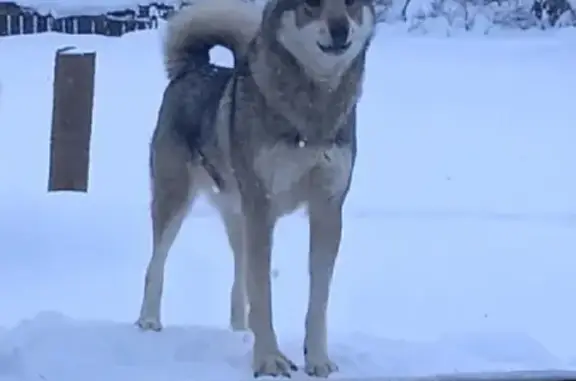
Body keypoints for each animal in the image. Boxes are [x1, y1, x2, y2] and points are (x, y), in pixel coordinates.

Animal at [137, 0, 376, 376]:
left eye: (350, 5)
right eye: (311, 6)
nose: (340, 30)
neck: (312, 112)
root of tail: (194, 68)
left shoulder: (327, 208)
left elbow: (317, 300)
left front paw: (318, 360)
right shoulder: (262, 208)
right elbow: (263, 293)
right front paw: (268, 360)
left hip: (238, 217)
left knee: (239, 272)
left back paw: (240, 330)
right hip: (175, 200)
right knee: (156, 264)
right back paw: (148, 321)